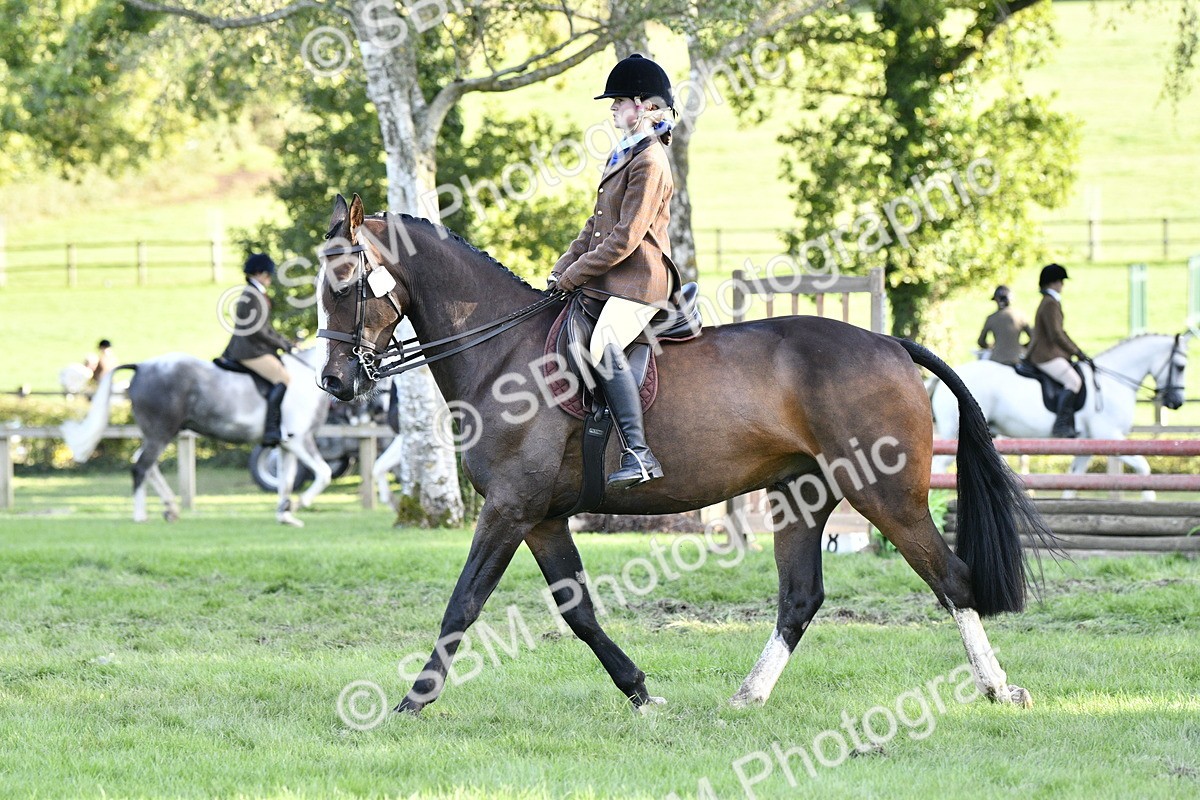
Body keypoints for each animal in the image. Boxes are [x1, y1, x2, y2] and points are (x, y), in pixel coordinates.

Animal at [63, 347, 334, 526]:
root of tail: (142, 366)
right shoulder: (300, 440)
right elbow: (324, 473)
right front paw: (298, 504)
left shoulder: (287, 446)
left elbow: (286, 482)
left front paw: (285, 514)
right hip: (160, 433)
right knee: (140, 467)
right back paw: (141, 516)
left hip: (159, 433)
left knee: (145, 463)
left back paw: (170, 508)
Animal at [315, 194, 1054, 716]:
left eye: (345, 284)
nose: (335, 383)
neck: (503, 353)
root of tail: (892, 344)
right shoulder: (542, 516)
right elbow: (579, 611)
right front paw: (641, 692)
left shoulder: (509, 507)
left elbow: (463, 604)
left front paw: (411, 700)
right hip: (801, 497)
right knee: (800, 598)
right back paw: (749, 696)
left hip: (887, 495)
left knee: (950, 579)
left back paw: (999, 689)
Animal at [930, 333, 1191, 499]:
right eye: (1180, 366)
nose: (1176, 402)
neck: (1113, 381)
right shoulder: (1109, 435)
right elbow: (1144, 467)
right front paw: (1150, 501)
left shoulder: (1088, 443)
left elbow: (1074, 479)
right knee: (937, 466)